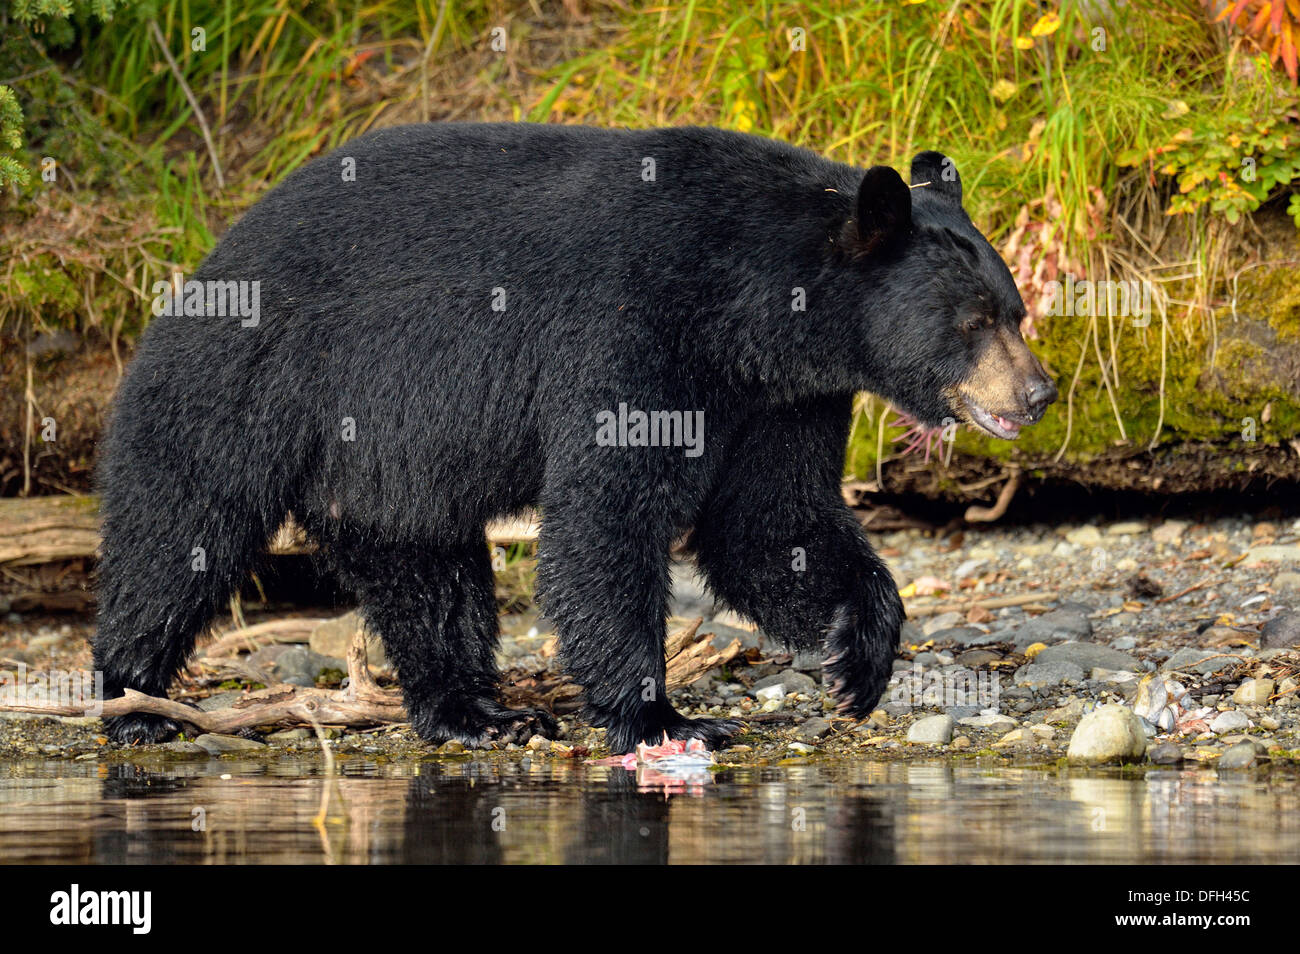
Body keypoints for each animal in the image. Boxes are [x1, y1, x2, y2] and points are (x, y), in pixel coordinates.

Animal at [98, 123, 1055, 753]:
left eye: (1014, 310)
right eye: (973, 321)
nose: (1040, 391)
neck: (751, 307)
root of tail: (202, 267)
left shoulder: (781, 398)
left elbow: (769, 522)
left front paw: (861, 658)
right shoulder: (632, 326)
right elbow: (609, 514)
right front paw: (661, 715)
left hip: (382, 459)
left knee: (424, 568)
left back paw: (475, 712)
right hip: (243, 386)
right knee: (178, 533)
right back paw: (135, 702)